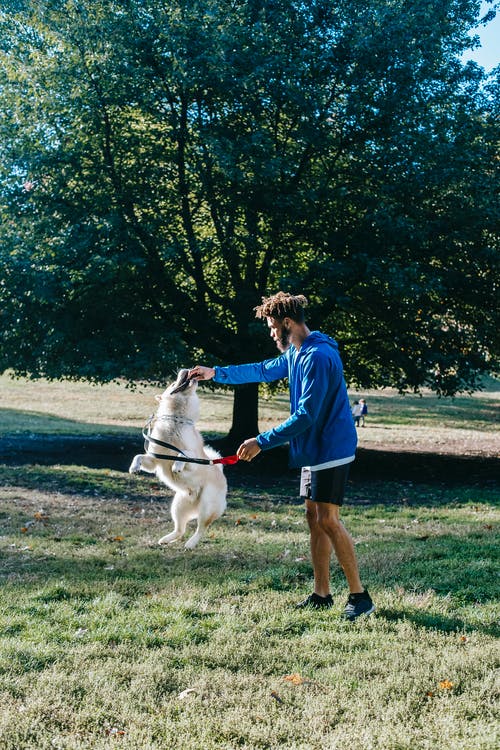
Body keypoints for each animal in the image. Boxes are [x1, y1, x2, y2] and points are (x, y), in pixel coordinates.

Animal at [130, 370, 229, 552]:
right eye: (172, 384)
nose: (185, 370)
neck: (175, 420)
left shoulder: (194, 460)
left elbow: (183, 454)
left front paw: (177, 465)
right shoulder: (155, 460)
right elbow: (139, 456)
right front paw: (134, 467)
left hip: (206, 505)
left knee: (201, 528)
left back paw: (190, 544)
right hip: (178, 506)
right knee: (180, 529)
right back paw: (166, 540)